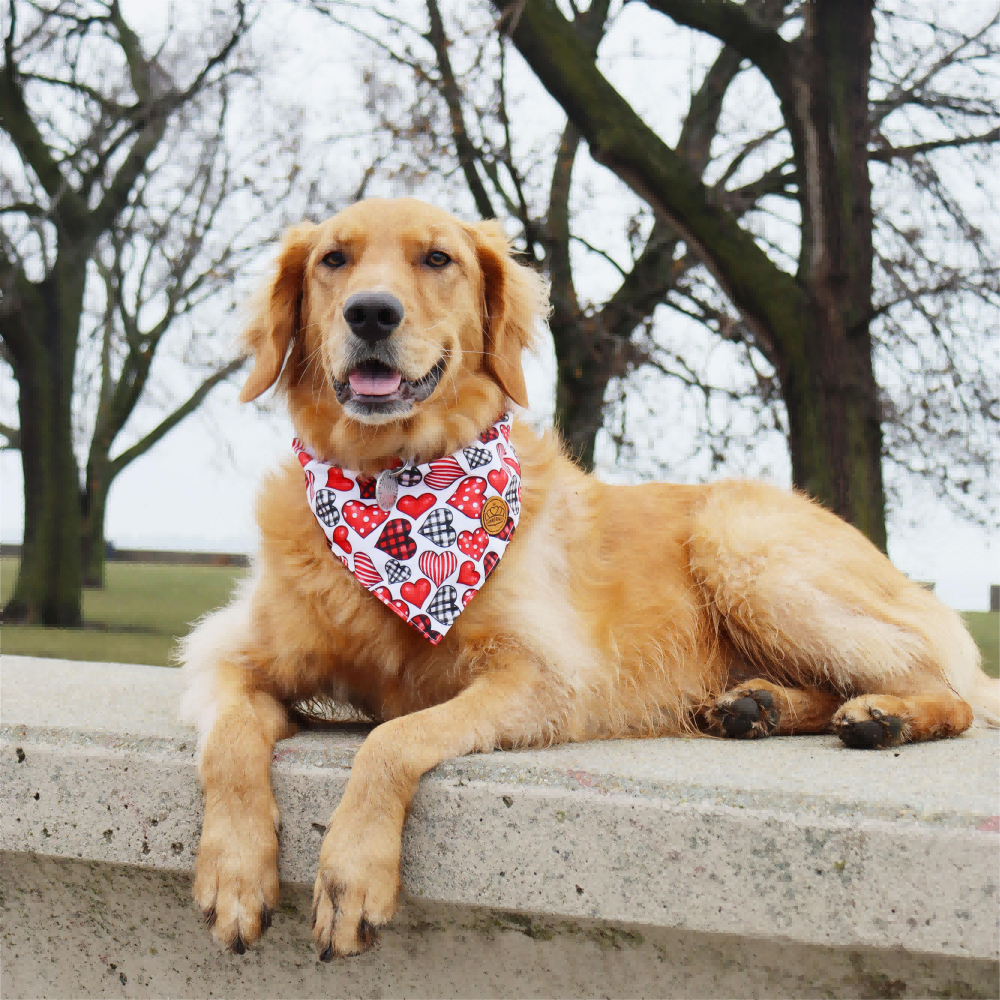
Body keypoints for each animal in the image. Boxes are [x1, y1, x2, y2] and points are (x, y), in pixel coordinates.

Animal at [180, 197, 1000, 960]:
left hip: (739, 543)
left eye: (438, 258)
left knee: (947, 691)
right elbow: (228, 742)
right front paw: (234, 874)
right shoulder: (230, 653)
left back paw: (884, 717)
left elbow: (393, 736)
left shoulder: (546, 676)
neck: (391, 491)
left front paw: (351, 871)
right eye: (334, 259)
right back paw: (756, 704)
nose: (372, 313)